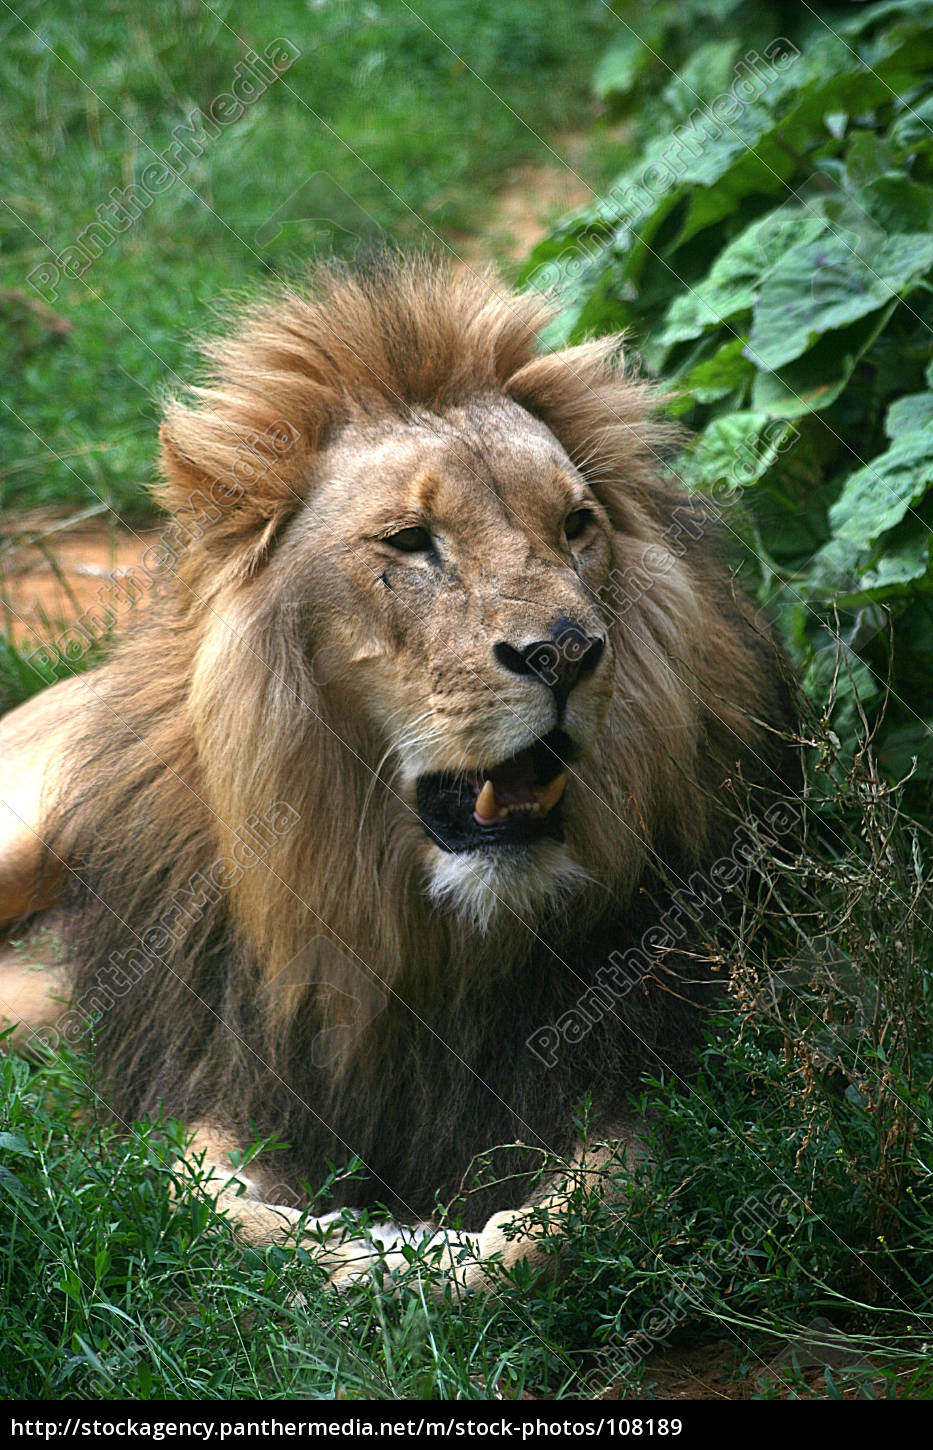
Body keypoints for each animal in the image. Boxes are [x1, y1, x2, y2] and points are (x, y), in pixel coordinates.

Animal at [1, 249, 795, 1293]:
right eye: (411, 542)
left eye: (575, 525)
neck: (417, 926)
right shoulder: (219, 1068)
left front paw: (433, 1261)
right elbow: (202, 1201)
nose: (569, 653)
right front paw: (356, 1256)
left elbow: (580, 1214)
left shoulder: (637, 1070)